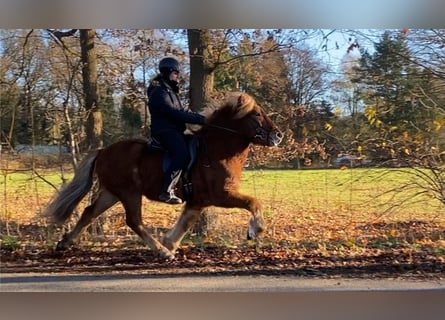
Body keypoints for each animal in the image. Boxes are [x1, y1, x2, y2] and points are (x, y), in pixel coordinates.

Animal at [45, 92, 280, 260]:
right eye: (257, 114)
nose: (279, 135)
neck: (217, 150)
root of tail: (103, 151)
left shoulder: (198, 201)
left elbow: (185, 223)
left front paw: (170, 243)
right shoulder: (222, 195)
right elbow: (254, 202)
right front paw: (255, 231)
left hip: (111, 193)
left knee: (89, 213)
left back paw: (64, 243)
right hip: (129, 192)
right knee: (134, 221)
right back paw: (161, 252)